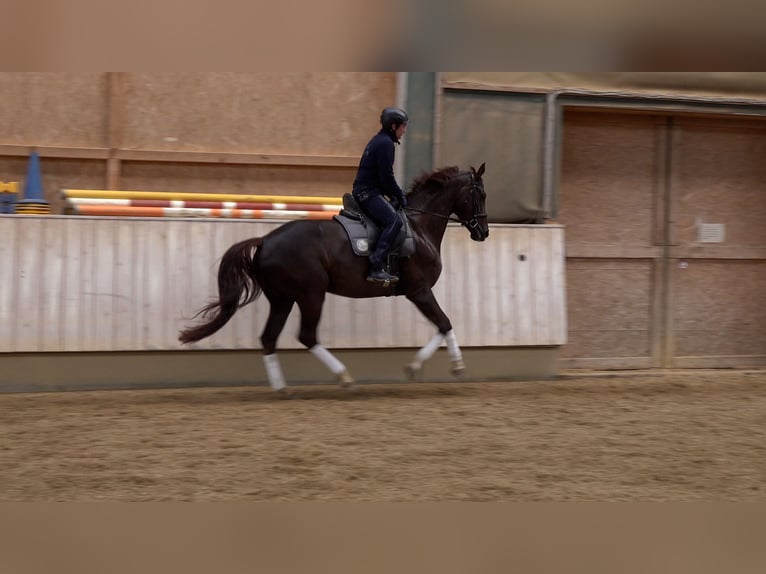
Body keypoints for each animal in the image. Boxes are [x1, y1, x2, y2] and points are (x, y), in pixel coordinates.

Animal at [179, 164, 488, 394]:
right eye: (481, 194)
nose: (483, 232)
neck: (418, 227)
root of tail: (265, 240)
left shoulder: (417, 292)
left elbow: (440, 326)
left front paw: (416, 367)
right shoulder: (419, 290)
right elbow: (444, 323)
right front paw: (455, 366)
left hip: (282, 299)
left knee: (269, 338)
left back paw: (281, 388)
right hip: (311, 294)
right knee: (306, 336)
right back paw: (343, 377)